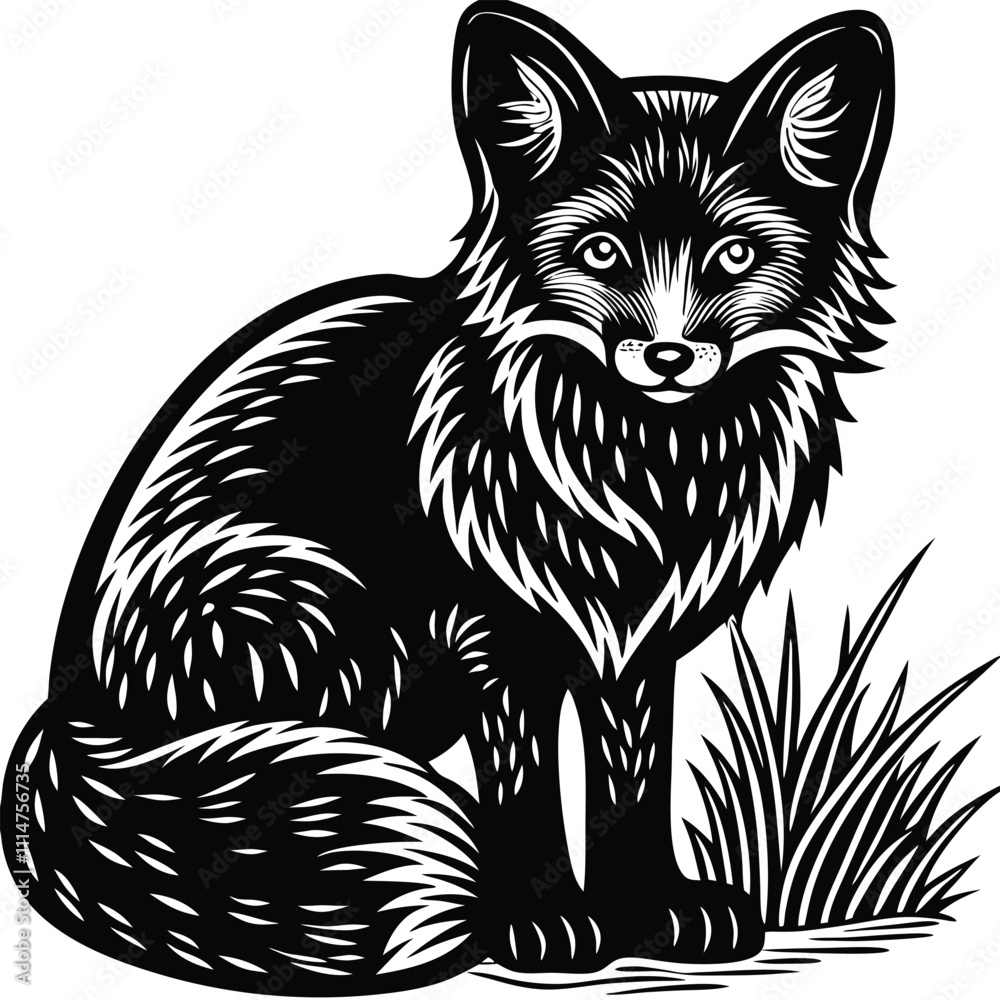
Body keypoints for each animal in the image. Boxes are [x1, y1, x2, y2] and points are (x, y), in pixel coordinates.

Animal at [3, 2, 894, 994]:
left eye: (736, 254)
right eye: (601, 252)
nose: (668, 357)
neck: (640, 469)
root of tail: (63, 708)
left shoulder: (634, 640)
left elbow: (634, 784)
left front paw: (656, 909)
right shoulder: (494, 639)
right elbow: (528, 795)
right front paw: (544, 923)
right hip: (308, 596)